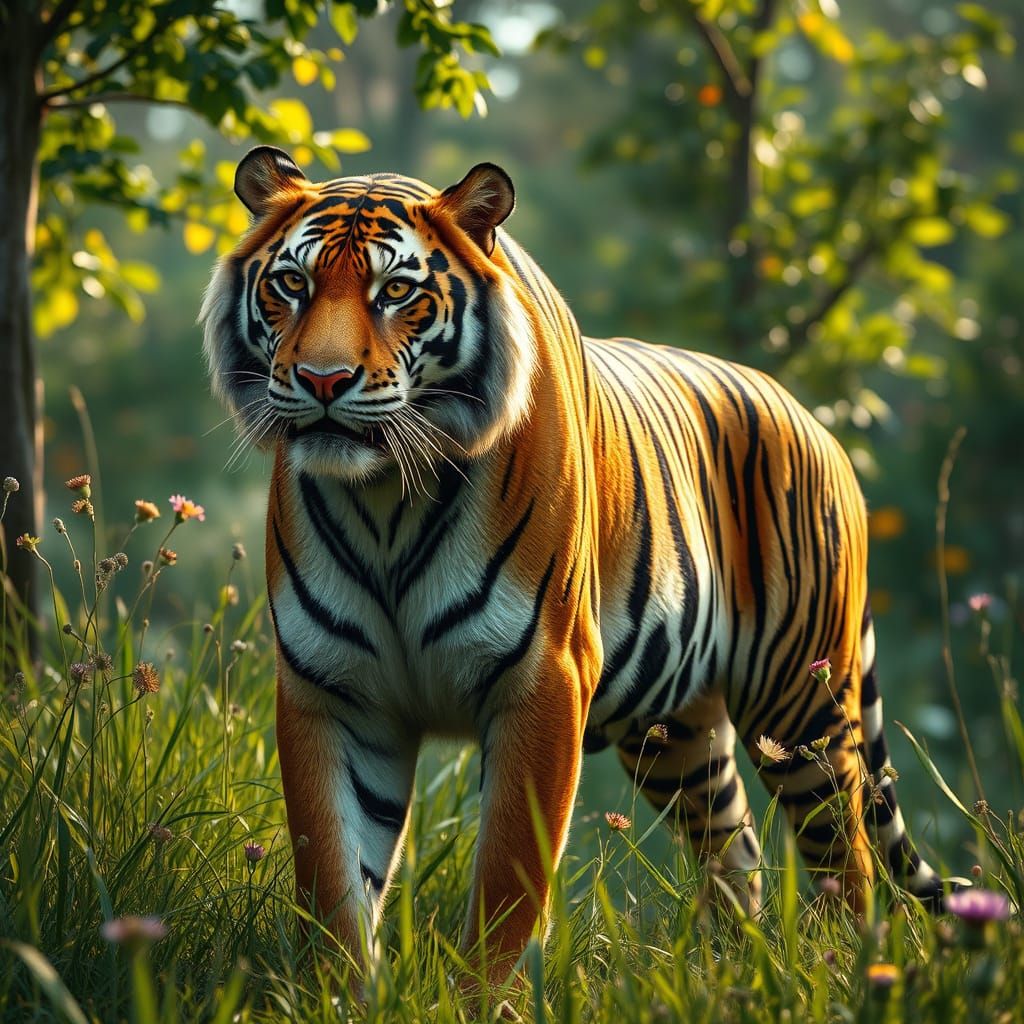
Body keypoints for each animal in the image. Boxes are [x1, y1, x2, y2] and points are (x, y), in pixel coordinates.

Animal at [201, 145, 950, 984]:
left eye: (396, 291)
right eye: (292, 284)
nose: (323, 381)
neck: (388, 500)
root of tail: (816, 424)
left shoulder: (542, 679)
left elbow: (506, 882)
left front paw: (478, 998)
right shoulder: (331, 687)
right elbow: (332, 874)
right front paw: (338, 993)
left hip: (801, 706)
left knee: (845, 861)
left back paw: (840, 976)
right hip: (677, 737)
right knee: (735, 852)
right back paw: (726, 975)